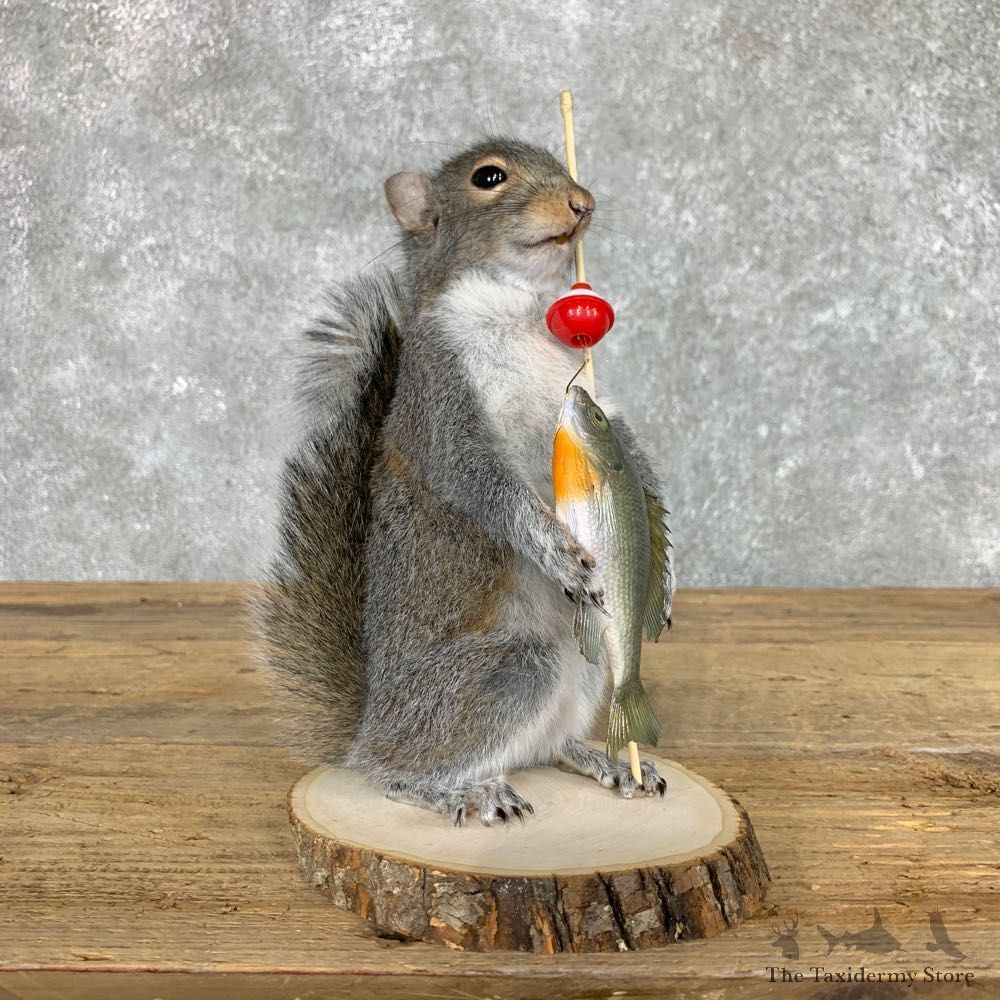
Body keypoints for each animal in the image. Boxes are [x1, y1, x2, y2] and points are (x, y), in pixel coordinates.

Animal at [252, 138, 675, 826]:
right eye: (489, 178)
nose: (582, 203)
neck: (522, 312)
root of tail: (370, 725)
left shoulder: (591, 392)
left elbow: (635, 463)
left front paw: (663, 579)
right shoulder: (442, 397)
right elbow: (479, 481)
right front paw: (557, 551)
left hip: (585, 668)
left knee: (546, 746)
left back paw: (605, 760)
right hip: (510, 670)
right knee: (390, 773)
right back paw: (459, 790)